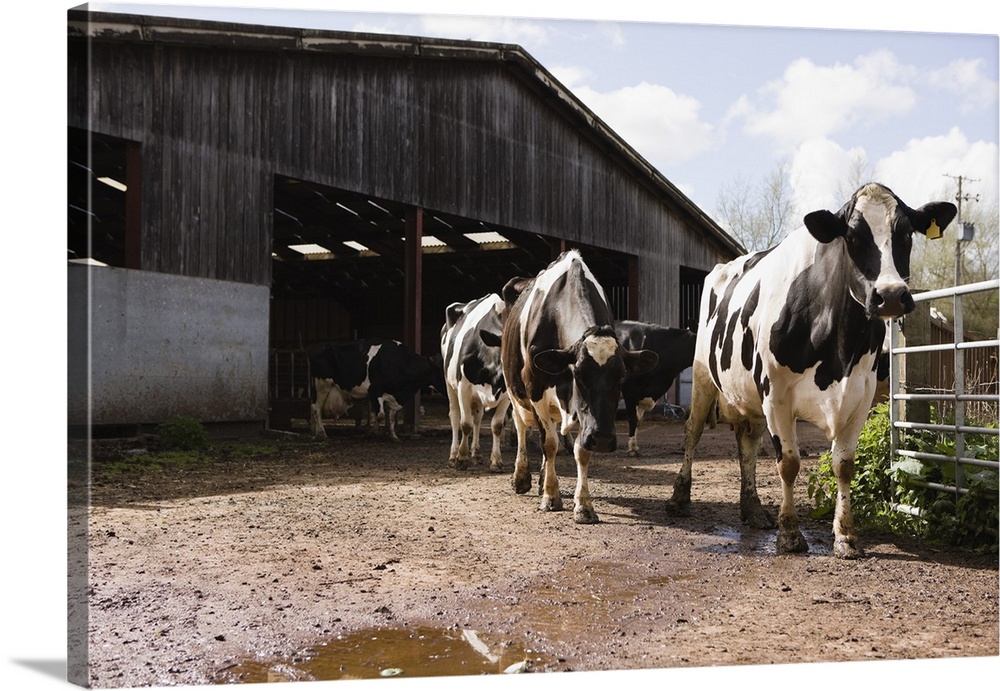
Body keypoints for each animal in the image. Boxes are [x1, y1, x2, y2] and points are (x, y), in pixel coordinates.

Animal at [306, 336, 444, 444]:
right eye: (443, 372)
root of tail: (316, 348)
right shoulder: (375, 391)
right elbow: (380, 415)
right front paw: (372, 432)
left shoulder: (395, 396)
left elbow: (392, 416)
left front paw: (393, 436)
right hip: (322, 386)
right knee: (316, 408)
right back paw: (322, 433)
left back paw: (316, 433)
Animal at [442, 294, 512, 474]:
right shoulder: (463, 387)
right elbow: (465, 423)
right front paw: (461, 458)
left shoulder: (506, 395)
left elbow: (497, 425)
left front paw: (496, 461)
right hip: (449, 384)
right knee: (454, 416)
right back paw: (453, 455)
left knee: (478, 418)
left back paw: (476, 454)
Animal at [498, 251, 656, 520]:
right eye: (579, 374)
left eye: (621, 377)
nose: (603, 438)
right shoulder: (535, 389)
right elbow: (549, 443)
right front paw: (551, 496)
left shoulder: (585, 415)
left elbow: (580, 450)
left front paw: (583, 505)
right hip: (514, 390)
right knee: (521, 427)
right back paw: (522, 478)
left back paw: (542, 479)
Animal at [668, 181, 956, 560]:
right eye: (852, 235)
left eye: (907, 233)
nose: (891, 296)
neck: (838, 350)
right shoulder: (776, 394)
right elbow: (789, 463)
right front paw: (790, 534)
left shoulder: (860, 397)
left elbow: (844, 465)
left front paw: (846, 536)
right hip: (704, 375)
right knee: (693, 431)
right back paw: (680, 498)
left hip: (749, 393)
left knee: (747, 442)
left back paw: (753, 508)